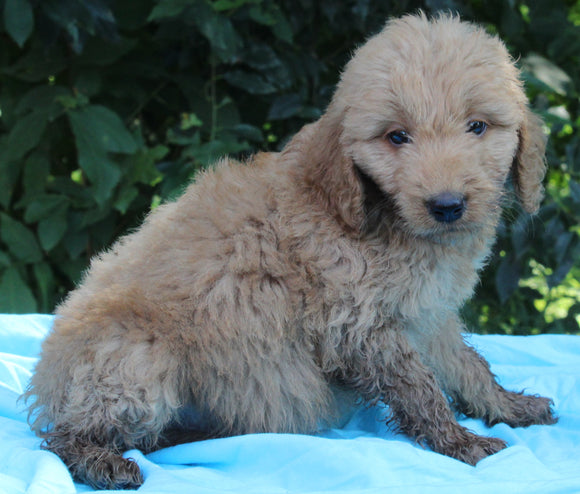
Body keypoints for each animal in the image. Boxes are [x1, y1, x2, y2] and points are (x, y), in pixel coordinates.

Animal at [24, 13, 556, 488]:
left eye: (478, 127)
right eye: (396, 136)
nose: (447, 206)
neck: (379, 218)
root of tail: (48, 382)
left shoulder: (428, 314)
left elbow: (467, 366)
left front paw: (509, 406)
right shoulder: (356, 323)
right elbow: (419, 385)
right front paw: (458, 440)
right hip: (136, 355)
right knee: (61, 436)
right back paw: (101, 459)